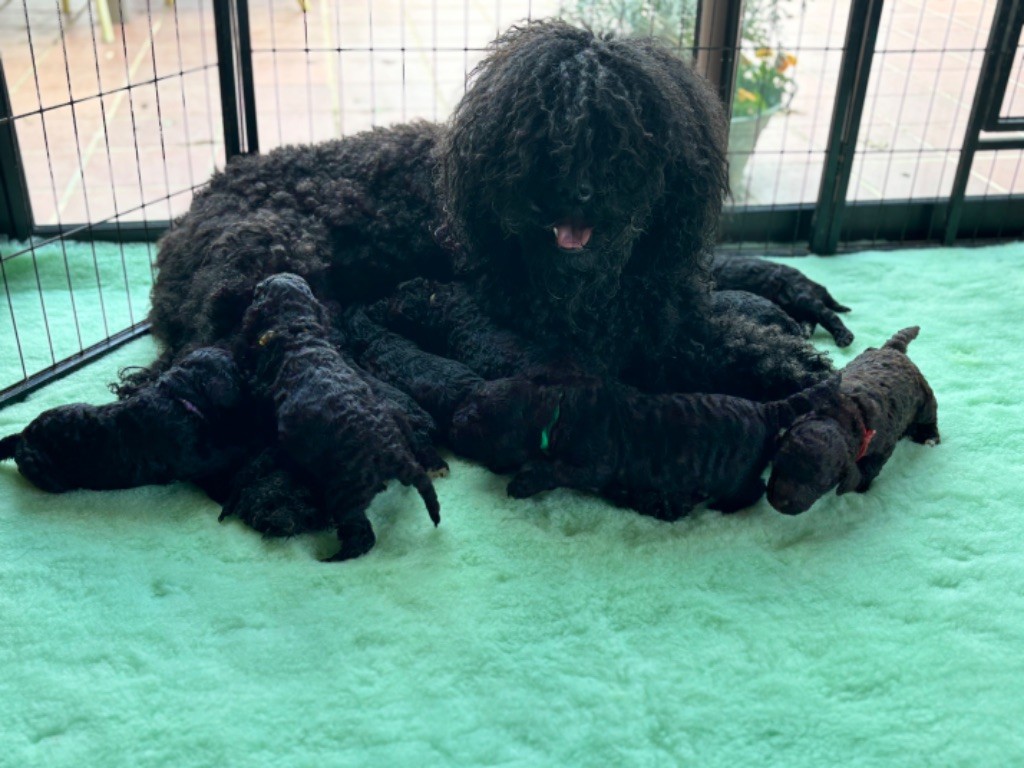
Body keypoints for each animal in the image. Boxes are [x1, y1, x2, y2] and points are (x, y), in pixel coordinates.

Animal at [243, 274, 448, 561]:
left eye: (259, 290)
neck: (297, 327)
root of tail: (392, 452)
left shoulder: (263, 389)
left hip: (344, 493)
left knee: (362, 535)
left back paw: (334, 558)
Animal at [450, 376, 839, 520]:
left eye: (477, 419)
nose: (453, 418)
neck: (553, 413)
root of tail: (765, 409)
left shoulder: (596, 463)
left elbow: (555, 470)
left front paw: (523, 481)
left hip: (733, 472)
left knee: (755, 488)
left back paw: (723, 506)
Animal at [770, 325, 937, 518]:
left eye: (820, 484)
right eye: (778, 463)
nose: (777, 503)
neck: (837, 415)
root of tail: (892, 349)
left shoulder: (881, 448)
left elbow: (868, 468)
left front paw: (860, 485)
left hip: (924, 398)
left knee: (929, 416)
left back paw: (929, 437)